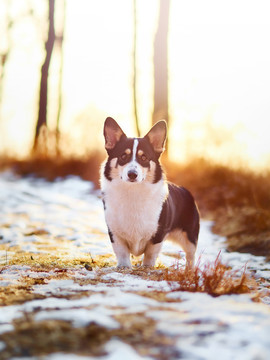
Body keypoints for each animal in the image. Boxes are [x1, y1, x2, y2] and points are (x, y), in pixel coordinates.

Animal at [100, 116, 199, 268]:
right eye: (123, 156)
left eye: (144, 157)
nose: (132, 174)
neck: (133, 192)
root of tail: (185, 190)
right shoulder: (114, 233)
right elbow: (122, 252)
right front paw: (124, 267)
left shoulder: (158, 234)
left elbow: (150, 254)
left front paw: (147, 267)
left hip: (189, 237)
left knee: (190, 256)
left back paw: (189, 270)